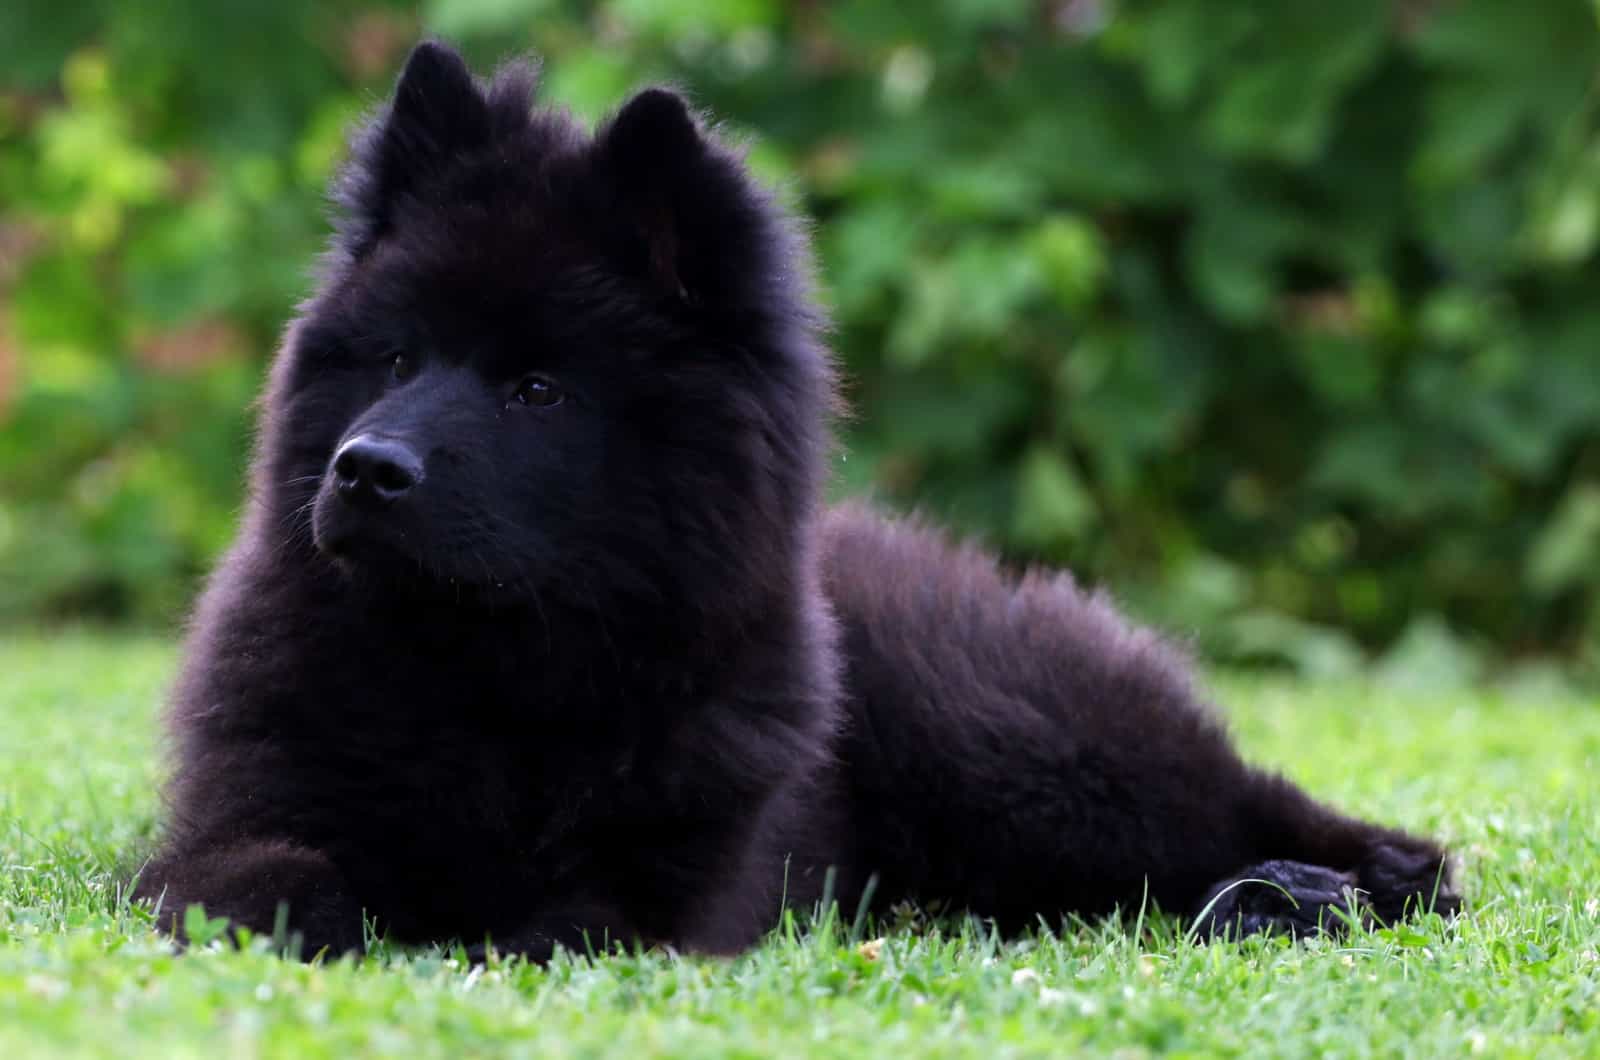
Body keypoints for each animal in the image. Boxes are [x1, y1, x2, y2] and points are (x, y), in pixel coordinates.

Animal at [140, 41, 1465, 960]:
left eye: (536, 390)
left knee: (1280, 823)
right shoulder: (241, 814)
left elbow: (564, 923)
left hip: (1016, 747)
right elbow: (256, 884)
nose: (365, 467)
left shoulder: (666, 886)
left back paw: (1319, 888)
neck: (493, 676)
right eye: (397, 360)